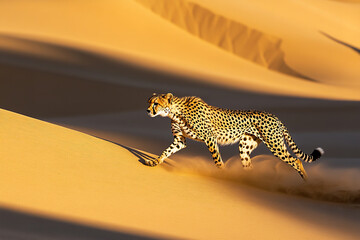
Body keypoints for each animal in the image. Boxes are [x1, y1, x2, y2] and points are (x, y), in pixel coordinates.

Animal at [145, 93, 324, 179]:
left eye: (156, 104)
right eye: (149, 102)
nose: (147, 110)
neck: (175, 111)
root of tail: (276, 117)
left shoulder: (210, 138)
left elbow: (217, 160)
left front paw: (224, 174)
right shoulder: (180, 140)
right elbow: (166, 152)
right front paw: (154, 162)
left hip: (275, 145)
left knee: (296, 160)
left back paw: (306, 183)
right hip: (245, 146)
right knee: (249, 166)